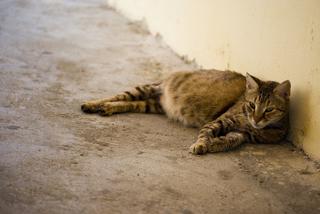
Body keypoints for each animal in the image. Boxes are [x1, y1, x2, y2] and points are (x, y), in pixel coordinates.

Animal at [81, 69, 292, 155]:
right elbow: (205, 134)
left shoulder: (240, 134)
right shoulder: (218, 122)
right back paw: (93, 104)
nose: (256, 119)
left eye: (269, 109)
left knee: (130, 103)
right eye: (252, 105)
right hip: (146, 88)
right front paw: (201, 145)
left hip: (151, 104)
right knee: (119, 96)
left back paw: (107, 108)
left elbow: (230, 141)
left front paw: (215, 145)